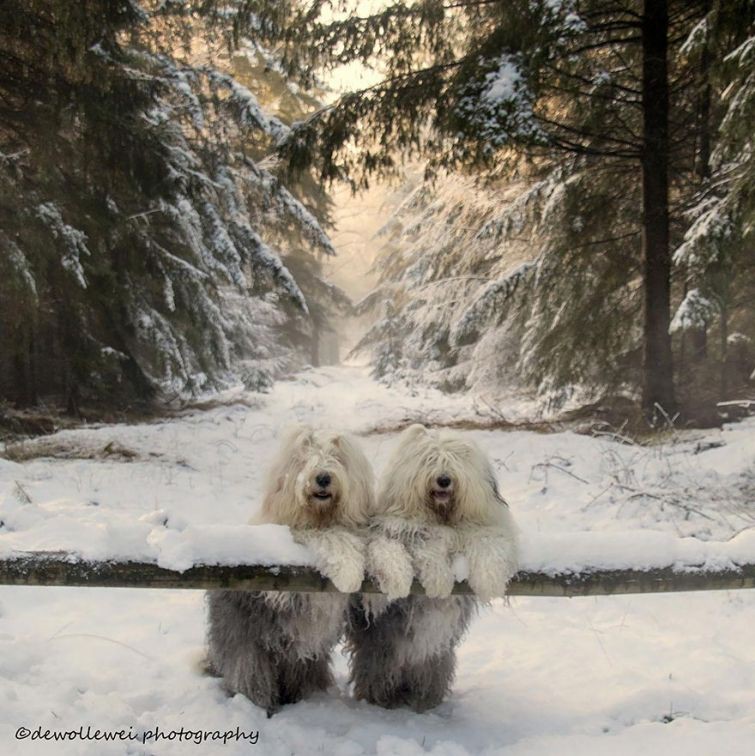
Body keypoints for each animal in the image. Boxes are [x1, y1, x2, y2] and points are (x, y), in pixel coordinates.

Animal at [205, 426, 374, 716]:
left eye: (337, 457)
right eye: (304, 459)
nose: (323, 477)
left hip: (301, 655)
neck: (319, 518)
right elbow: (329, 541)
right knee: (248, 672)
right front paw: (347, 568)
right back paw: (258, 704)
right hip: (244, 637)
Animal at [350, 426, 520, 716]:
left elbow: (488, 541)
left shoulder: (481, 528)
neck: (441, 519)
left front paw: (489, 580)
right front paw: (437, 576)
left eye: (454, 463)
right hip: (383, 650)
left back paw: (425, 700)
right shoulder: (401, 530)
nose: (443, 480)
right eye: (429, 461)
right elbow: (417, 545)